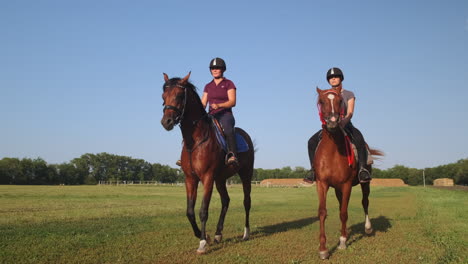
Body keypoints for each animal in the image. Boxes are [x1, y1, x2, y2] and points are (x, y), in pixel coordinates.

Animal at [161, 71, 256, 254]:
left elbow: (203, 210)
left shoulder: (207, 178)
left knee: (246, 202)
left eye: (179, 95)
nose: (166, 122)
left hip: (245, 175)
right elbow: (190, 212)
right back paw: (218, 234)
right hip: (220, 179)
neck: (195, 141)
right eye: (163, 96)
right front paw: (206, 236)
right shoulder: (190, 179)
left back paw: (246, 233)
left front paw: (203, 243)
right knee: (226, 201)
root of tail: (245, 135)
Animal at [312, 85, 382, 258]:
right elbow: (322, 212)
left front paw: (343, 241)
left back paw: (368, 228)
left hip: (365, 183)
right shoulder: (322, 183)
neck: (333, 151)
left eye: (340, 101)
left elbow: (344, 212)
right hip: (337, 188)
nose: (332, 122)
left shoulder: (347, 184)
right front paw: (323, 249)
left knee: (365, 202)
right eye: (321, 101)